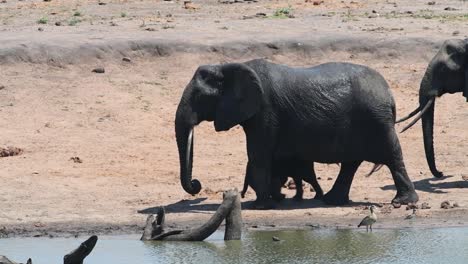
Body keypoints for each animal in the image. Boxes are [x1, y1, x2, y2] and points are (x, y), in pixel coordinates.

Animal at [176, 58, 420, 208]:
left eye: (199, 97)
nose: (196, 185)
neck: (228, 66)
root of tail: (389, 94)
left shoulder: (265, 111)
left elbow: (258, 154)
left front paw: (260, 206)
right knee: (351, 163)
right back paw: (331, 201)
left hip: (376, 121)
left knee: (391, 157)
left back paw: (403, 202)